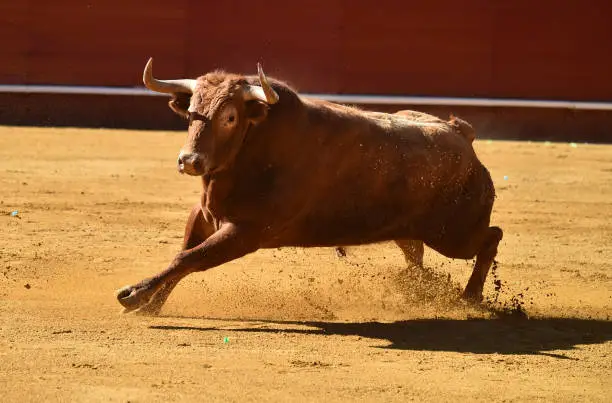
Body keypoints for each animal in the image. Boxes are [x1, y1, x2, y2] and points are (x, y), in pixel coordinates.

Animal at [115, 58, 502, 316]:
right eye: (191, 113)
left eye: (230, 117)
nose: (190, 161)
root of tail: (460, 134)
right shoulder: (205, 216)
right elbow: (184, 255)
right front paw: (151, 304)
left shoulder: (247, 232)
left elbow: (190, 258)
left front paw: (135, 295)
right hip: (410, 231)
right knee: (416, 256)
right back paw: (419, 290)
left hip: (454, 235)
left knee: (490, 237)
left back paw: (470, 297)